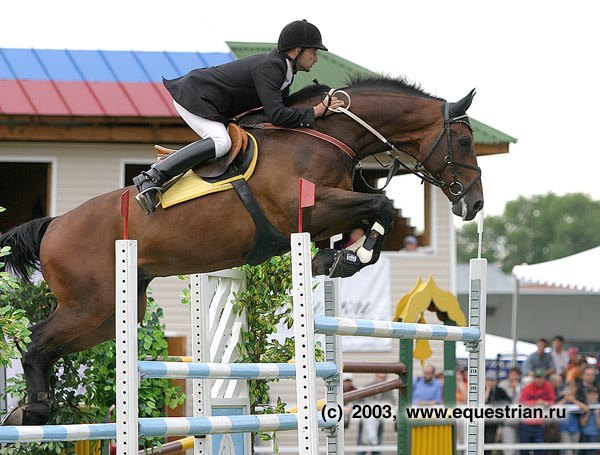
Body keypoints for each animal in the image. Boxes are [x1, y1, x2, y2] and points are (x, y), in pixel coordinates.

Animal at [0, 76, 482, 426]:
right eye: (463, 142)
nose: (474, 204)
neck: (329, 136)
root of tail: (53, 225)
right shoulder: (308, 208)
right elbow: (379, 206)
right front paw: (350, 257)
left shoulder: (328, 216)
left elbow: (370, 217)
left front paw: (339, 258)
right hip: (90, 304)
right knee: (37, 342)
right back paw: (35, 410)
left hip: (111, 314)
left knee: (49, 345)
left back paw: (30, 409)